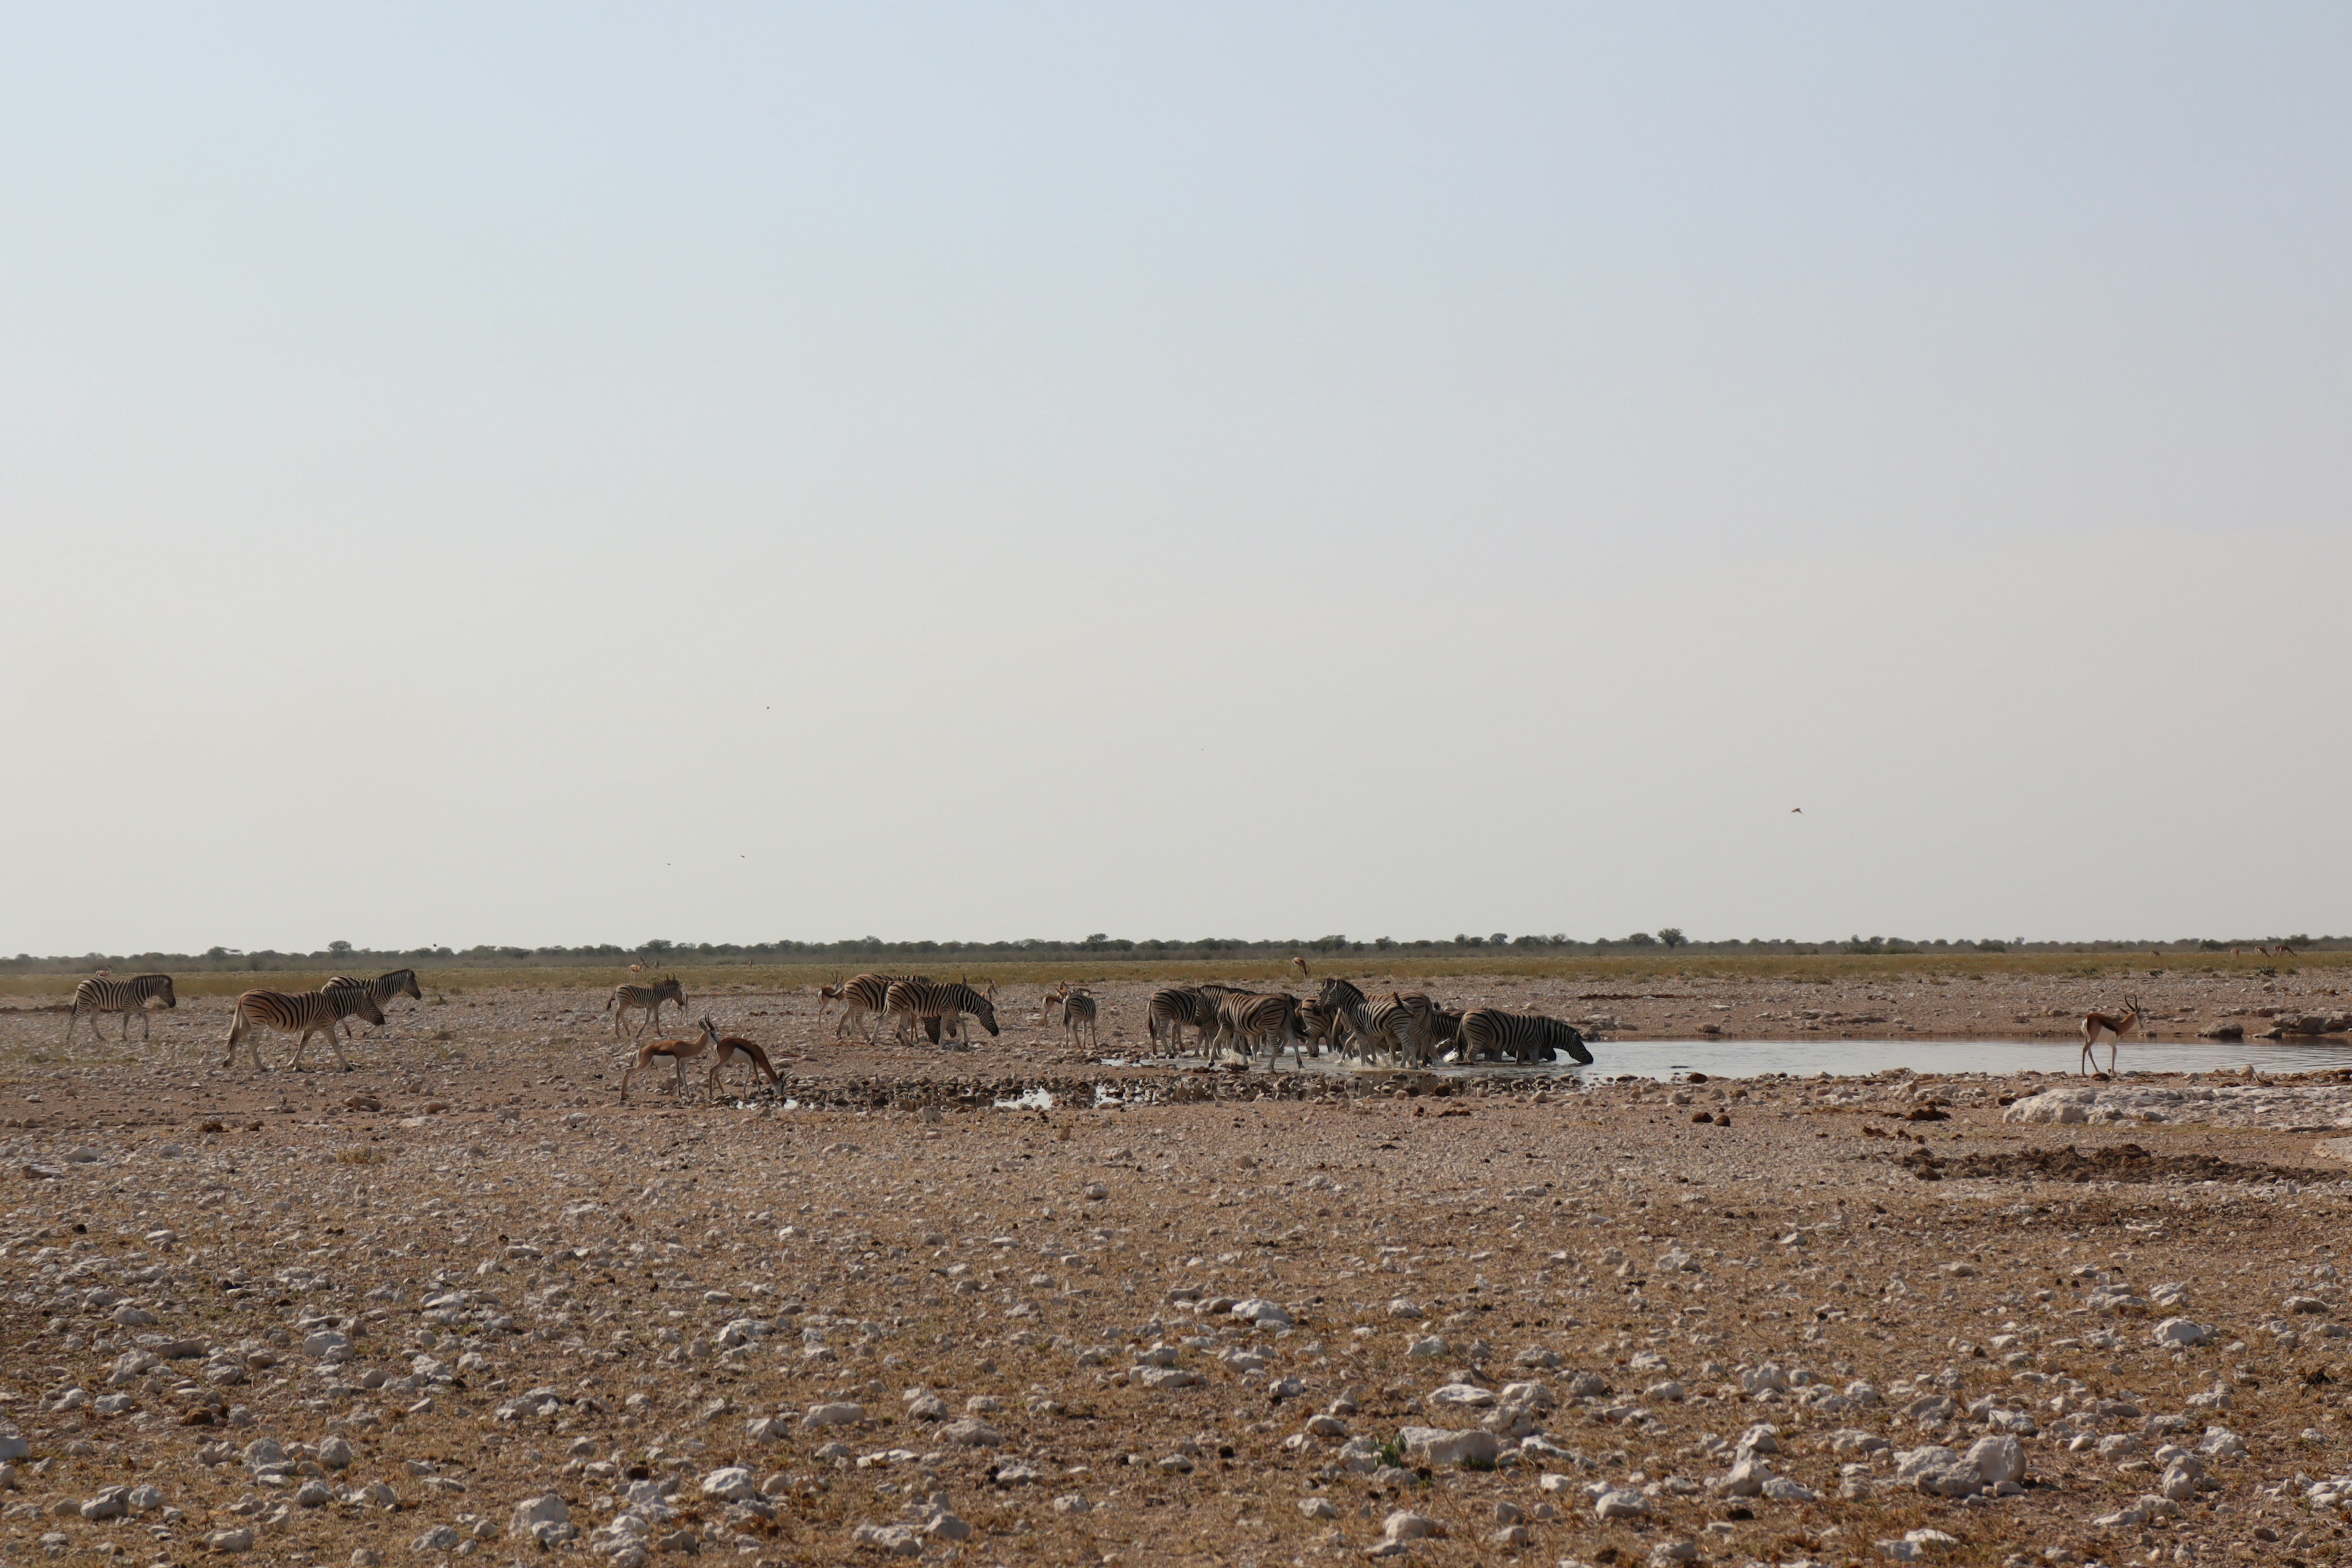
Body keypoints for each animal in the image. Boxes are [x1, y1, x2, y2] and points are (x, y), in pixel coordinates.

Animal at [63, 973, 176, 1048]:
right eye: (169, 990)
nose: (174, 1004)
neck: (141, 990)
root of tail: (82, 982)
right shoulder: (129, 1006)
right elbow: (125, 1022)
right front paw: (124, 1037)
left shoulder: (137, 1007)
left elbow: (146, 1018)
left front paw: (146, 1035)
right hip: (84, 1002)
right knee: (74, 1017)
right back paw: (68, 1036)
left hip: (95, 1005)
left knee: (92, 1020)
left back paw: (100, 1037)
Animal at [223, 987, 385, 1072]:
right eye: (372, 1004)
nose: (383, 1021)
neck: (334, 1005)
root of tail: (244, 994)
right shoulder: (327, 1025)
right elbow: (336, 1045)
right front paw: (347, 1065)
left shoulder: (309, 1028)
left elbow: (302, 1045)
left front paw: (294, 1064)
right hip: (258, 1021)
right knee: (251, 1043)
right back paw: (261, 1067)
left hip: (248, 1022)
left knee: (236, 1037)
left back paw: (228, 1061)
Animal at [322, 968, 428, 1044]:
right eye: (412, 983)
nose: (420, 996)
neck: (386, 988)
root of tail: (330, 981)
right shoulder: (379, 1003)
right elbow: (382, 1020)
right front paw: (382, 1035)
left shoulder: (380, 1005)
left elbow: (381, 1019)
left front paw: (370, 1033)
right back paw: (348, 1032)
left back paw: (348, 1032)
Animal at [602, 982, 687, 1044]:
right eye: (680, 993)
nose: (682, 1003)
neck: (660, 994)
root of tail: (618, 987)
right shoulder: (655, 1006)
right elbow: (657, 1019)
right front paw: (660, 1033)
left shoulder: (649, 1007)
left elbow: (647, 1020)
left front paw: (638, 1034)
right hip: (624, 1002)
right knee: (618, 1014)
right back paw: (618, 1034)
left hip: (626, 1003)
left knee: (621, 1014)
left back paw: (628, 1032)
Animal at [880, 982, 997, 1053]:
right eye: (991, 1017)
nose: (997, 1033)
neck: (960, 998)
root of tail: (893, 984)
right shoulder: (946, 1011)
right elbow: (943, 1026)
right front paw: (941, 1045)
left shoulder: (953, 1012)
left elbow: (963, 1023)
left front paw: (965, 1042)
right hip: (895, 1007)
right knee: (881, 1019)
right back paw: (875, 1040)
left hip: (904, 1009)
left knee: (899, 1026)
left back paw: (909, 1043)